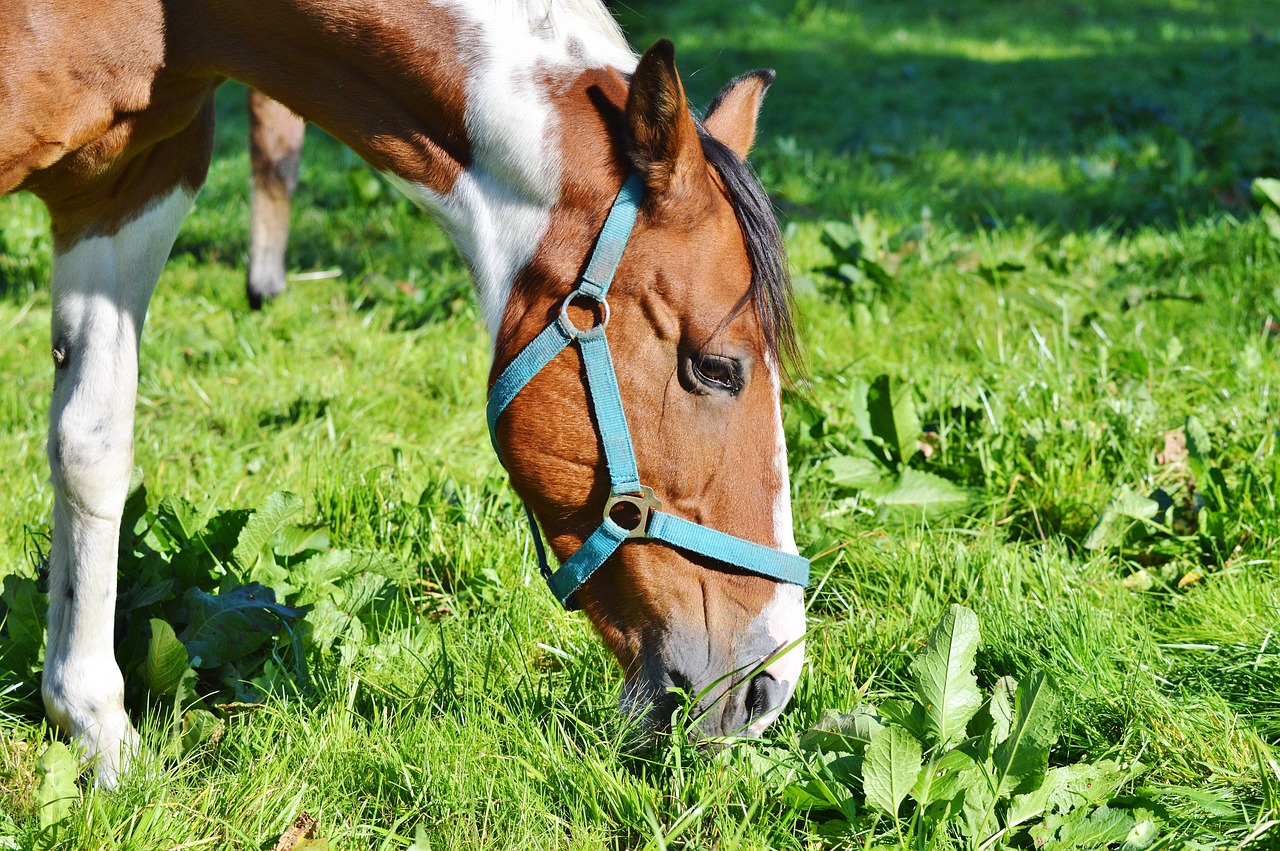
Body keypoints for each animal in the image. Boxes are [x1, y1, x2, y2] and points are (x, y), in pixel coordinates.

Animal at [0, 0, 803, 783]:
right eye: (715, 368)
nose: (769, 684)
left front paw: (94, 725)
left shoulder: (133, 183)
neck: (176, 19)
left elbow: (91, 449)